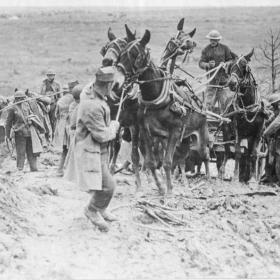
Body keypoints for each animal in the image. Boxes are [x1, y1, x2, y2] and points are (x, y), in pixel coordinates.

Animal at [219, 48, 266, 184]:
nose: (232, 83)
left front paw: (252, 179)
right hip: (226, 131)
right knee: (227, 151)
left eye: (244, 66)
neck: (248, 107)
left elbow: (254, 154)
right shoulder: (237, 130)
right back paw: (221, 173)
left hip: (249, 137)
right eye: (231, 66)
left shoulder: (258, 132)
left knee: (248, 153)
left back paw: (247, 176)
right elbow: (238, 152)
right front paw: (235, 177)